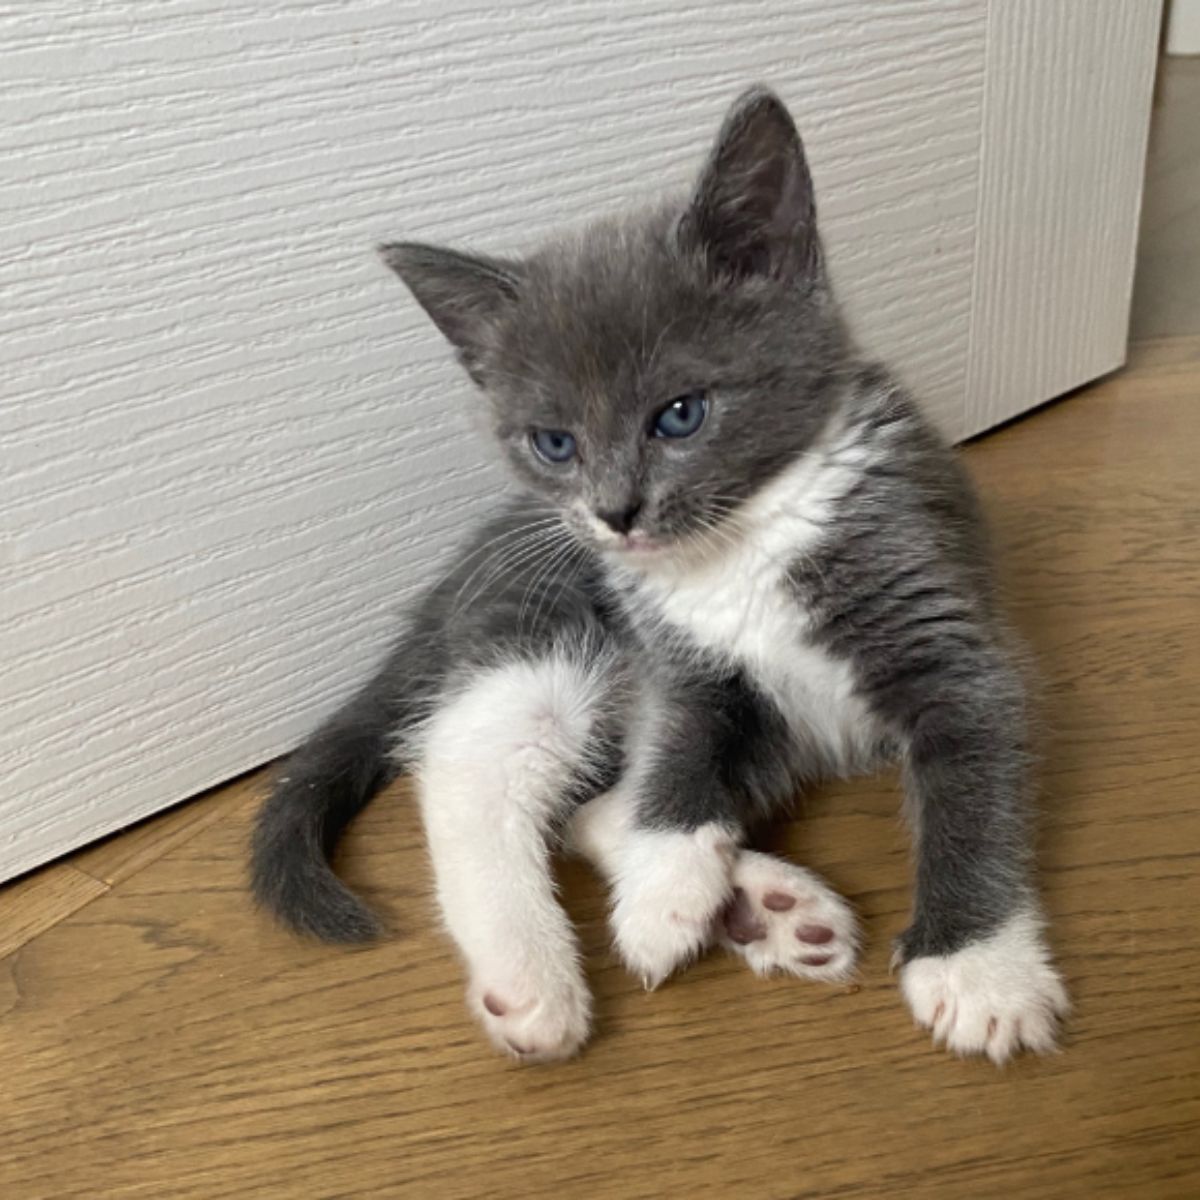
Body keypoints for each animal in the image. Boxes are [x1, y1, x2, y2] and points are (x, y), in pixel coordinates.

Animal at [250, 88, 1070, 1065]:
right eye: (554, 442)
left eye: (680, 415)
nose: (614, 512)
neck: (742, 542)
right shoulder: (677, 660)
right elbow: (676, 760)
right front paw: (662, 896)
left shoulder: (935, 614)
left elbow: (973, 782)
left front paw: (978, 969)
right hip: (548, 621)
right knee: (471, 768)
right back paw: (537, 978)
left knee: (591, 808)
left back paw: (768, 908)